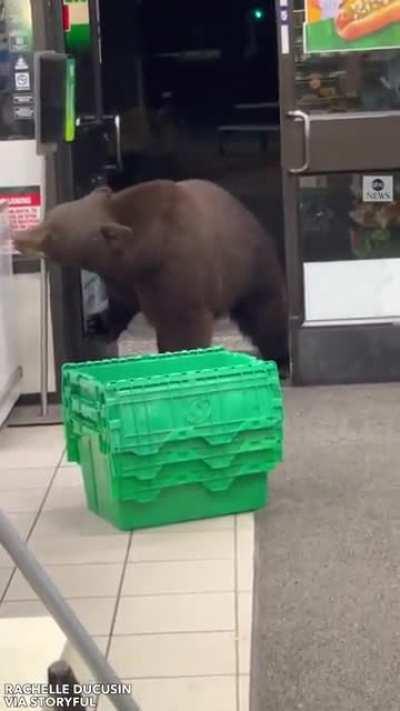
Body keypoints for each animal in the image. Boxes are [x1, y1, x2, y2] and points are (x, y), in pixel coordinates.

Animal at [13, 179, 289, 367]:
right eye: (49, 215)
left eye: (52, 233)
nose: (19, 237)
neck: (144, 251)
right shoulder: (123, 278)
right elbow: (120, 304)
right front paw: (97, 324)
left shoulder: (176, 269)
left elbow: (182, 322)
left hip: (249, 270)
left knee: (266, 314)